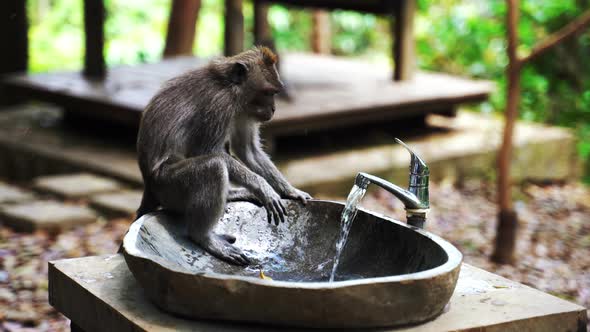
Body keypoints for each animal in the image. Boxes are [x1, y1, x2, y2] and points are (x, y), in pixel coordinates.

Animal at [136, 46, 312, 266]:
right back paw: (204, 237)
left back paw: (231, 194)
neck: (230, 88)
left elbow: (248, 150)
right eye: (268, 92)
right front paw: (264, 188)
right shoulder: (220, 105)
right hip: (168, 187)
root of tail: (148, 184)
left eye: (275, 93)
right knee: (214, 167)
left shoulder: (244, 111)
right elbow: (208, 151)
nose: (273, 108)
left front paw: (289, 190)